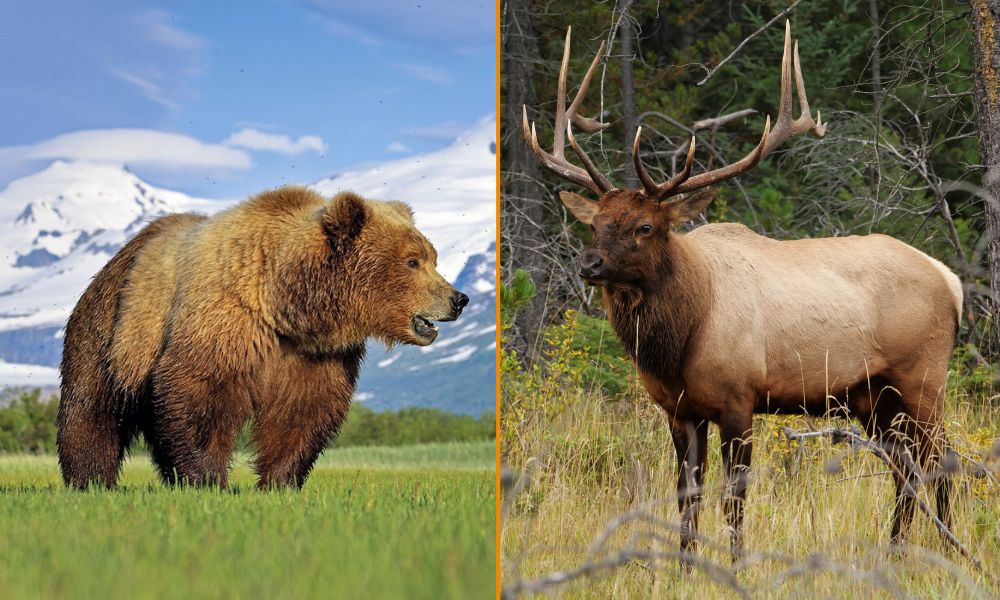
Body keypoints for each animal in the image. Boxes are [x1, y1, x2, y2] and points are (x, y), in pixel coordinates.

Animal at [57, 188, 468, 488]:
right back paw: (91, 481)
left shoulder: (315, 355)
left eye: (432, 257)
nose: (458, 299)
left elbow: (304, 409)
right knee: (91, 408)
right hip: (113, 330)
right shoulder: (226, 321)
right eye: (412, 261)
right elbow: (199, 391)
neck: (286, 304)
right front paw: (209, 479)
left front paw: (279, 481)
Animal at [520, 22, 956, 556]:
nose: (589, 263)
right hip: (871, 397)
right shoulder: (679, 411)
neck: (681, 338)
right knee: (905, 468)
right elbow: (688, 498)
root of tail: (950, 279)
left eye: (645, 226)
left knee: (942, 462)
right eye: (595, 223)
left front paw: (734, 562)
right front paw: (685, 564)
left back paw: (949, 551)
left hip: (923, 378)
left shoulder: (739, 398)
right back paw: (896, 552)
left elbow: (734, 498)